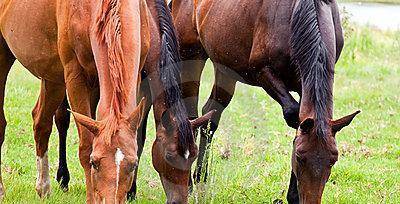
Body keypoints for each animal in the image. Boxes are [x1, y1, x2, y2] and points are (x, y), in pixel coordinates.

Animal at [0, 0, 152, 202]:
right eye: (94, 163)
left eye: (134, 164)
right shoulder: (75, 76)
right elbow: (86, 146)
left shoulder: (134, 76)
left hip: (52, 76)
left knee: (41, 122)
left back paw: (43, 187)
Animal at [171, 0, 360, 203]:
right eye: (299, 157)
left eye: (333, 159)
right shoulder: (262, 71)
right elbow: (293, 114)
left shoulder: (303, 84)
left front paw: (293, 195)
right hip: (191, 55)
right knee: (191, 116)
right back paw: (189, 184)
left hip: (225, 67)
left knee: (210, 115)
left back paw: (201, 179)